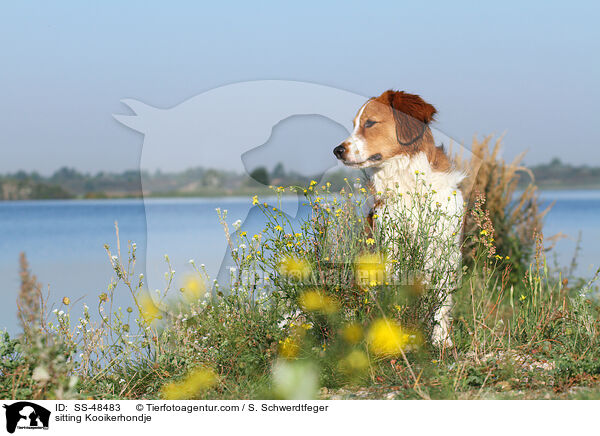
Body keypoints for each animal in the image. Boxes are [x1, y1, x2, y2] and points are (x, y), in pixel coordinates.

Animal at [332, 90, 464, 350]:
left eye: (369, 123)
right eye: (354, 125)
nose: (337, 150)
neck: (408, 180)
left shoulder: (444, 250)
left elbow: (441, 301)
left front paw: (441, 339)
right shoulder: (391, 249)